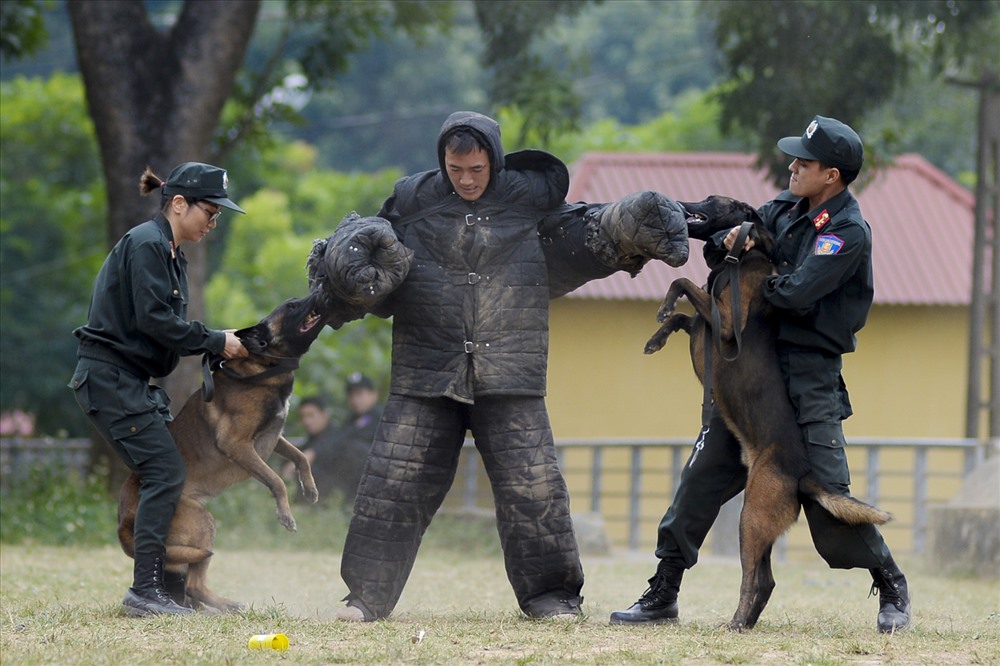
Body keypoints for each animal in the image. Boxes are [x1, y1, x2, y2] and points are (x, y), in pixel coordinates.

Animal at [644, 195, 888, 632]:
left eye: (712, 201)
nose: (681, 204)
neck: (743, 256)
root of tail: (802, 473)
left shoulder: (725, 325)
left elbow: (683, 284)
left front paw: (664, 306)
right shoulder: (706, 323)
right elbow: (684, 315)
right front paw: (657, 336)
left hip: (751, 517)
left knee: (753, 578)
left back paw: (736, 622)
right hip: (761, 522)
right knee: (767, 579)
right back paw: (747, 621)